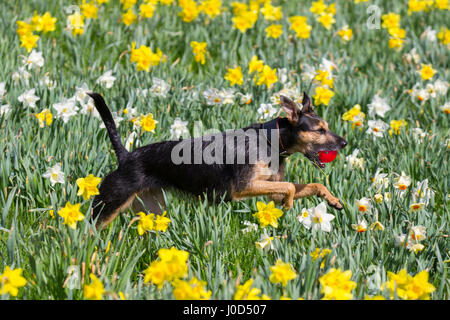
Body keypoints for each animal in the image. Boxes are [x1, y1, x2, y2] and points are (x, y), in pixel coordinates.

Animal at [88, 91, 348, 229]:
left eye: (327, 127)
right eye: (320, 130)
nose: (345, 143)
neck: (271, 141)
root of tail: (125, 156)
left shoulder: (270, 187)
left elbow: (311, 184)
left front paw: (333, 200)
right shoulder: (242, 187)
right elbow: (290, 188)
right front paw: (289, 204)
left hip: (151, 208)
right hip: (108, 205)